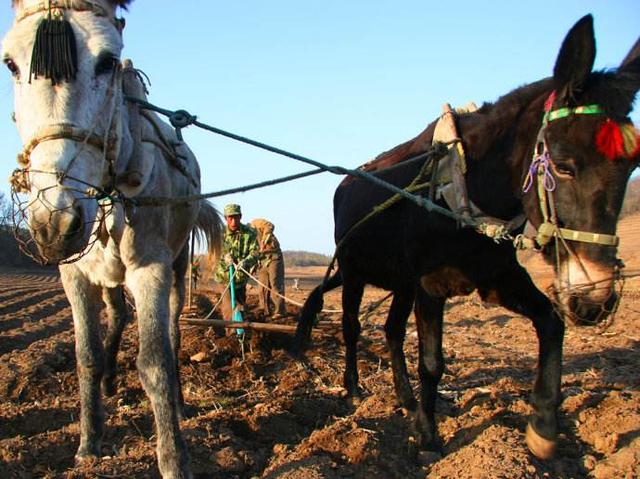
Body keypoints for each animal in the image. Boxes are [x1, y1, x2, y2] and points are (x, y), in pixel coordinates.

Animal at [3, 1, 222, 478]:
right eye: (10, 63)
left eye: (106, 60)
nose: (56, 221)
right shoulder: (74, 275)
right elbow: (85, 355)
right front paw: (89, 443)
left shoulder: (149, 268)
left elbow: (155, 362)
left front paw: (173, 459)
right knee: (117, 317)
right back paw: (109, 381)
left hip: (177, 266)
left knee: (173, 334)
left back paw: (178, 404)